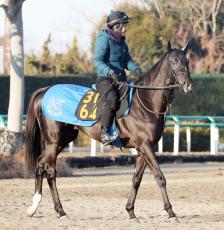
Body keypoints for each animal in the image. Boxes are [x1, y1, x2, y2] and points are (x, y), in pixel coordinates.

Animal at [24, 41, 192, 221]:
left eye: (187, 60)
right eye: (174, 60)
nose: (188, 84)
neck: (146, 102)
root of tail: (45, 91)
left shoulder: (144, 148)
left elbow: (136, 179)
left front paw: (131, 211)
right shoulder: (145, 146)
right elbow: (160, 177)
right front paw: (171, 212)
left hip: (62, 140)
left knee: (42, 166)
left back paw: (39, 207)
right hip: (53, 142)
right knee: (47, 169)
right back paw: (55, 209)